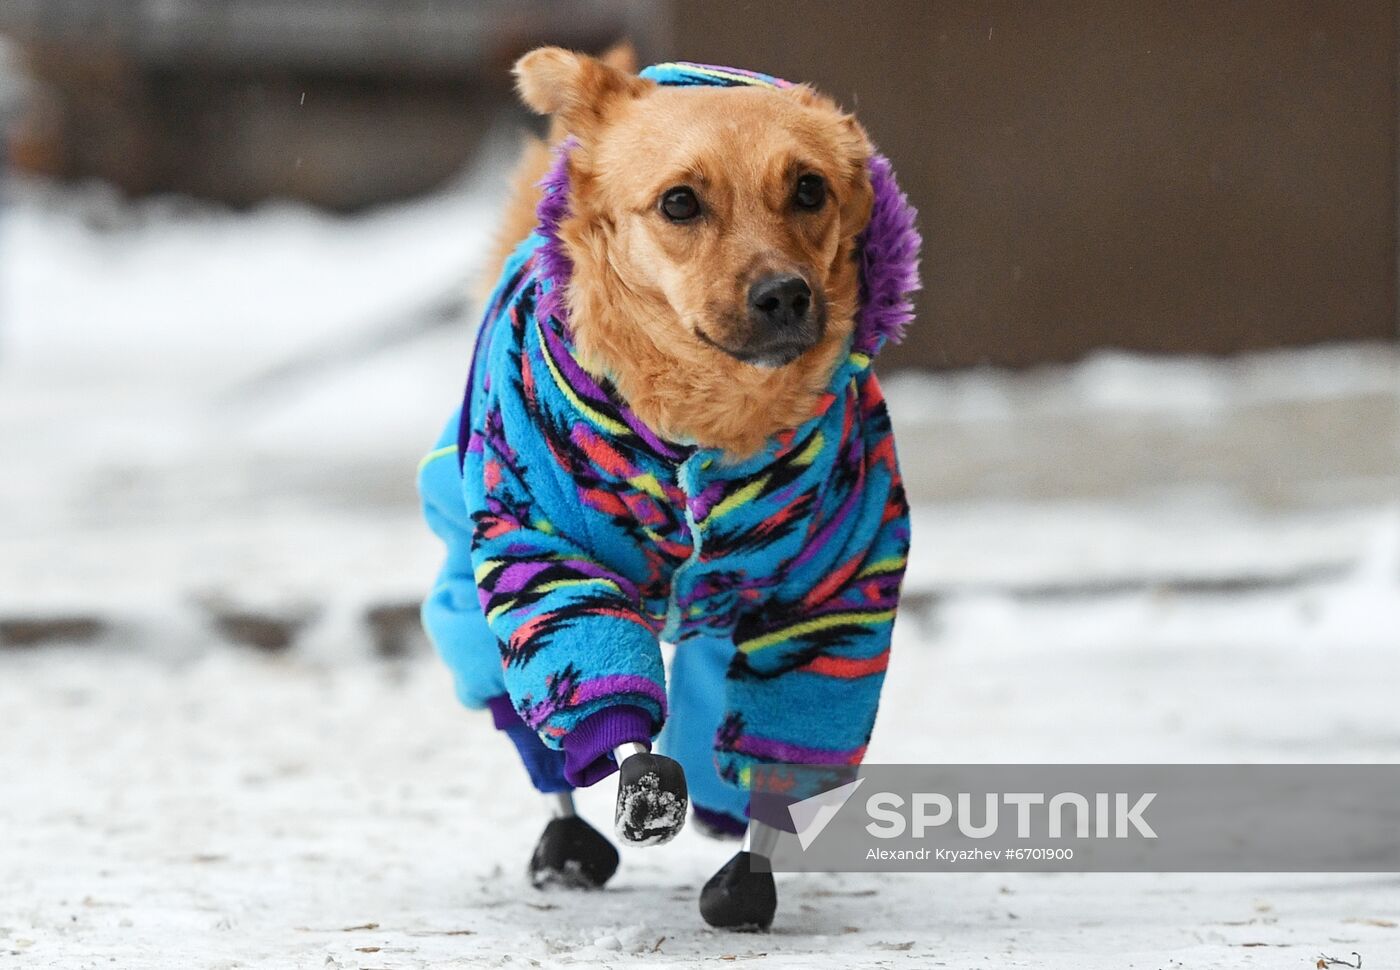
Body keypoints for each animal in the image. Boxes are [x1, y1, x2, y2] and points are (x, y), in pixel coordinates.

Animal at [414, 47, 918, 929]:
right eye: (680, 201)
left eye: (810, 188)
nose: (785, 293)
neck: (705, 428)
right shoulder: (546, 555)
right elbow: (596, 676)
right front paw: (637, 779)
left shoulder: (837, 600)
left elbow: (787, 737)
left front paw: (750, 866)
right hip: (466, 571)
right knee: (521, 714)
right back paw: (566, 837)